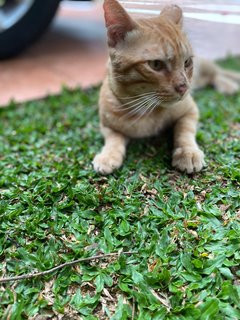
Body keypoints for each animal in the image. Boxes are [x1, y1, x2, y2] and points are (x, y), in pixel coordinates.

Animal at [92, 0, 225, 175]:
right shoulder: (106, 125)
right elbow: (114, 138)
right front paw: (108, 155)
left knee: (218, 73)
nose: (184, 87)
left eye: (187, 62)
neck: (144, 110)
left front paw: (188, 152)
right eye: (156, 64)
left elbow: (185, 130)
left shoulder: (190, 110)